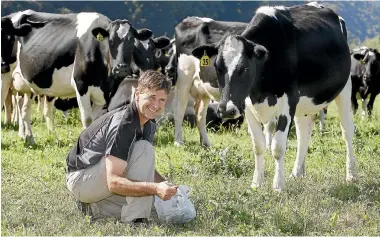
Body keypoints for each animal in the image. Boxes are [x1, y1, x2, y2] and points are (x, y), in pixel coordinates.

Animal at [1, 10, 153, 144]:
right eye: (110, 41)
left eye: (131, 42)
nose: (121, 67)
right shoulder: (81, 85)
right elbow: (88, 120)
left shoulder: (106, 93)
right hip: (5, 75)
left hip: (28, 84)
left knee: (24, 110)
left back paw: (29, 139)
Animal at [168, 16, 248, 146]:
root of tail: (190, 19)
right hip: (184, 76)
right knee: (179, 107)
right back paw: (179, 142)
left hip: (203, 87)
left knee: (200, 113)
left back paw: (205, 143)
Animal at [193, 2, 356, 191]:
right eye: (217, 67)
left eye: (245, 68)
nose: (226, 110)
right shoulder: (247, 103)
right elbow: (258, 145)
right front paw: (256, 183)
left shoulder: (289, 100)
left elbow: (278, 146)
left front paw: (278, 185)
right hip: (304, 104)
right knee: (304, 133)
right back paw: (297, 172)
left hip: (344, 88)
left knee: (347, 130)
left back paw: (351, 175)